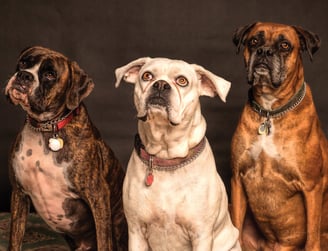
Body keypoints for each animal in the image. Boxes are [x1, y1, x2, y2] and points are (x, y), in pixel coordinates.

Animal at [5, 46, 128, 250]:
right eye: (23, 63)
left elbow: (104, 240)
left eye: (50, 74)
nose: (24, 75)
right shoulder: (19, 194)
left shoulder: (97, 195)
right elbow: (15, 240)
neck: (46, 127)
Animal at [114, 57, 240, 250]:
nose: (160, 84)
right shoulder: (136, 232)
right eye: (147, 76)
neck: (166, 155)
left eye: (182, 81)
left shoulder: (201, 234)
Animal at [231, 22, 328, 250]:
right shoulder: (237, 179)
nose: (264, 51)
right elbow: (235, 228)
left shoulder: (312, 187)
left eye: (284, 45)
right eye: (253, 41)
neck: (270, 111)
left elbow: (312, 238)